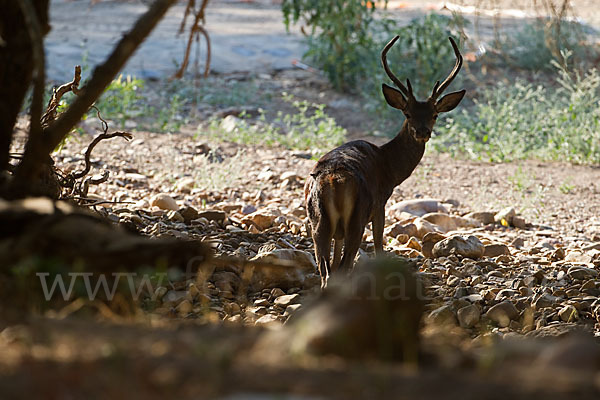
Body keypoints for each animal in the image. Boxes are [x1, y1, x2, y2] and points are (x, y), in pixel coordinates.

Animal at [304, 36, 464, 288]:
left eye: (435, 114)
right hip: (357, 217)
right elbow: (379, 247)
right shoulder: (380, 204)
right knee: (344, 265)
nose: (422, 131)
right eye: (407, 113)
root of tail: (334, 181)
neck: (388, 167)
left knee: (327, 272)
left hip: (318, 222)